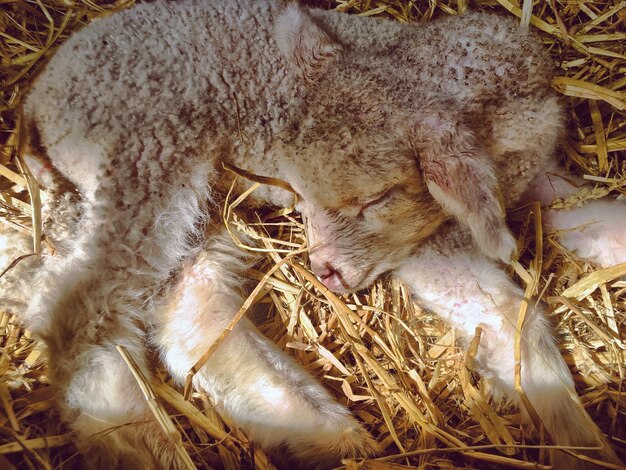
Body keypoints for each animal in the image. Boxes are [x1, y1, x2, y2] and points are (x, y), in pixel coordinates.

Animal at [2, 0, 620, 468]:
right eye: (301, 190)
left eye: (376, 198)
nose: (322, 272)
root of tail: (36, 101)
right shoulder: (423, 243)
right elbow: (513, 315)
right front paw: (581, 444)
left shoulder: (531, 180)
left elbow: (598, 220)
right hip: (144, 163)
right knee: (79, 313)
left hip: (196, 205)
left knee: (185, 303)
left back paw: (318, 429)